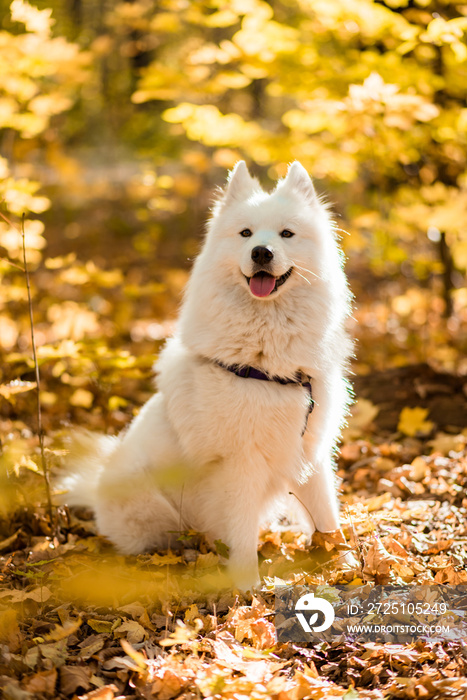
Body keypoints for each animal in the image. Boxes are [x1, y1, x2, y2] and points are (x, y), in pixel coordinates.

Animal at [63, 164, 354, 592]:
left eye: (286, 234)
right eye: (246, 234)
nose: (261, 252)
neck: (266, 358)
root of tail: (96, 489)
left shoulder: (309, 449)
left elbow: (327, 517)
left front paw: (347, 564)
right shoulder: (241, 462)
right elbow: (243, 532)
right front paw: (248, 587)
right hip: (151, 507)